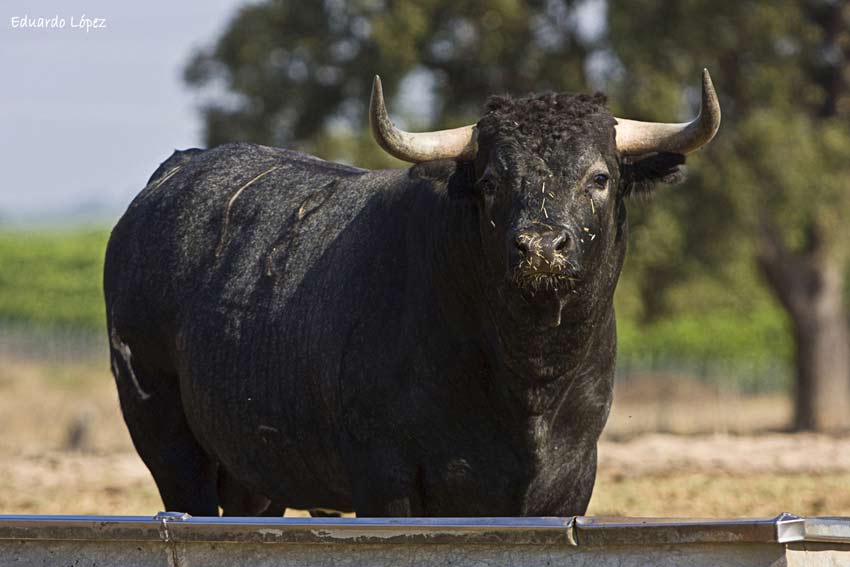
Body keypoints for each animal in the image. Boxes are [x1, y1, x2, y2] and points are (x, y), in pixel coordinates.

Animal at [104, 87, 704, 516]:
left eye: (599, 177)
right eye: (491, 181)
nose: (540, 246)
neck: (526, 379)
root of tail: (175, 171)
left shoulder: (570, 480)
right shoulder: (385, 479)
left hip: (255, 468)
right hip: (163, 431)